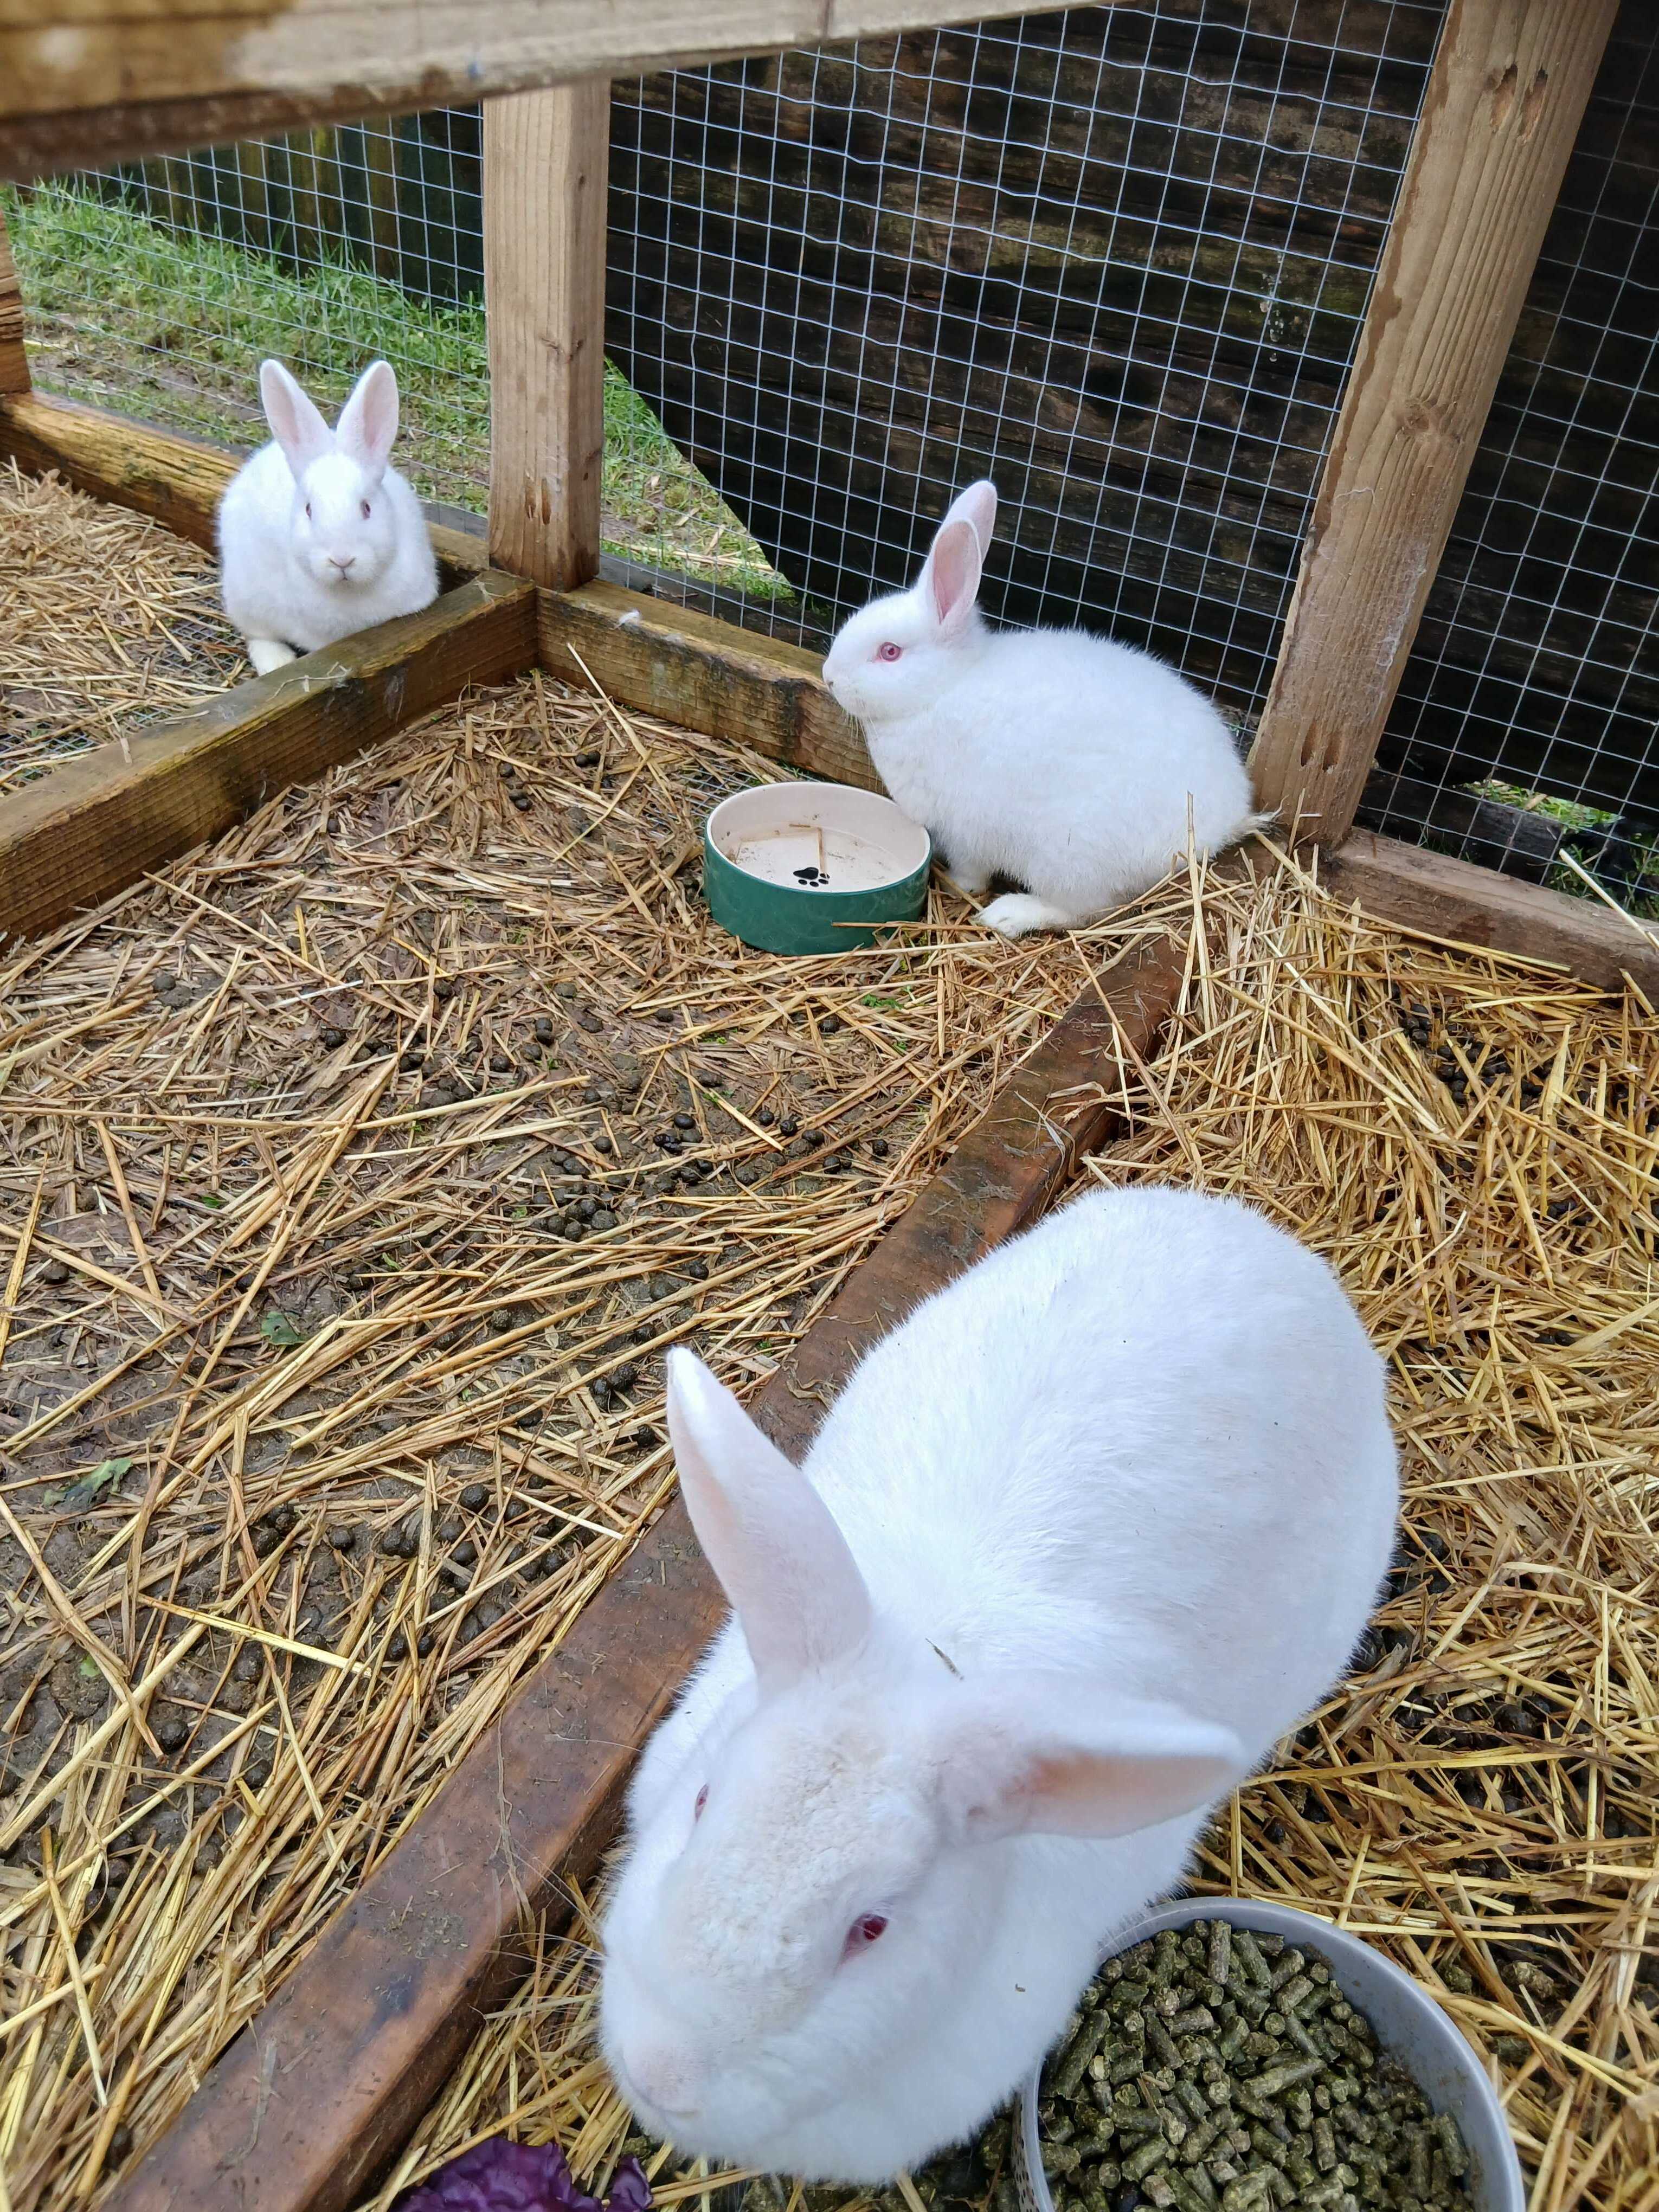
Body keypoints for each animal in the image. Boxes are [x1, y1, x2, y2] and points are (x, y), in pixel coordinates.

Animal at [218, 358, 438, 675]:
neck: (351, 592)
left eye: (367, 508)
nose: (342, 560)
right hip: (244, 598)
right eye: (309, 510)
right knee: (258, 635)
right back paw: (276, 662)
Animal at [820, 481, 1264, 936]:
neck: (942, 691)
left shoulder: (966, 831)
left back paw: (1009, 914)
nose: (829, 676)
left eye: (890, 652)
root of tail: (1224, 822)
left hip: (1071, 856)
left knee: (1085, 911)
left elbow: (972, 870)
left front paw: (961, 885)